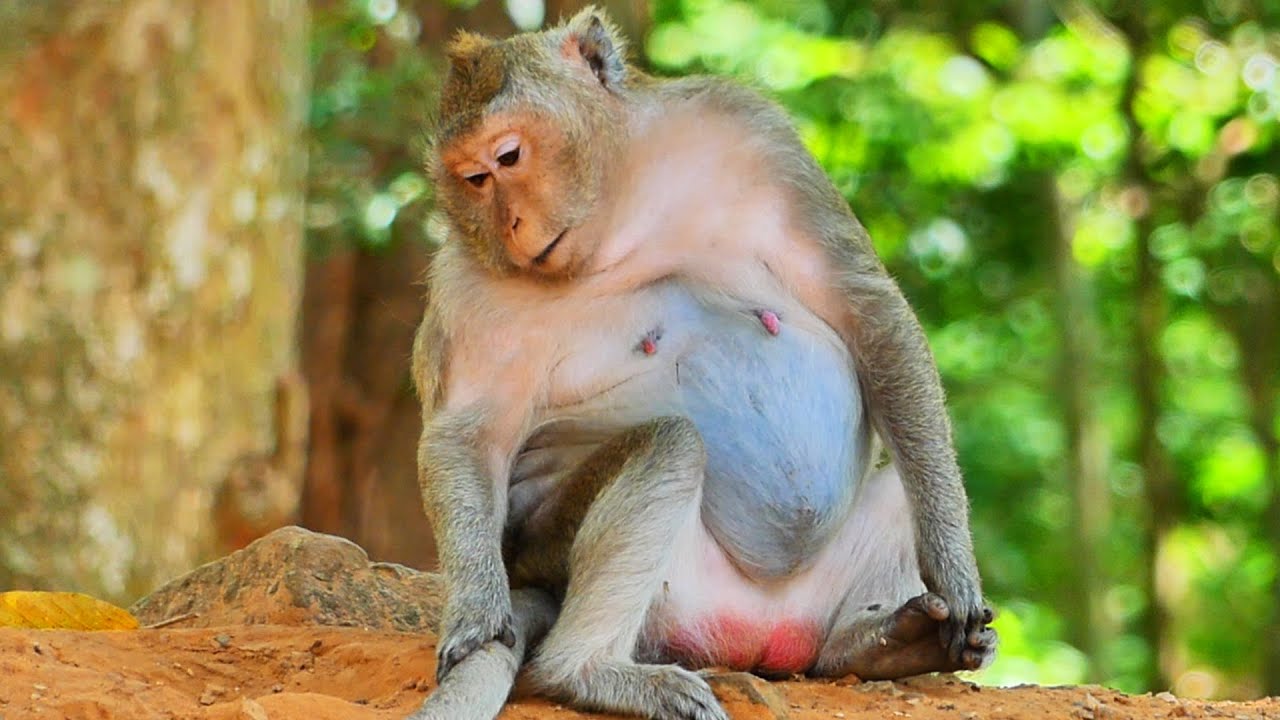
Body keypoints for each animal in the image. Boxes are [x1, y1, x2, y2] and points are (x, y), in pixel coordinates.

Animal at [410, 8, 998, 720]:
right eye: (473, 180)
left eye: (507, 157)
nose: (513, 224)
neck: (621, 216)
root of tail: (756, 634)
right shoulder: (468, 282)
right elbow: (469, 434)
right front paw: (476, 609)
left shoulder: (749, 133)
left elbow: (872, 315)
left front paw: (954, 568)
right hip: (579, 564)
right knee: (667, 444)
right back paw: (587, 672)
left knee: (894, 485)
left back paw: (878, 645)